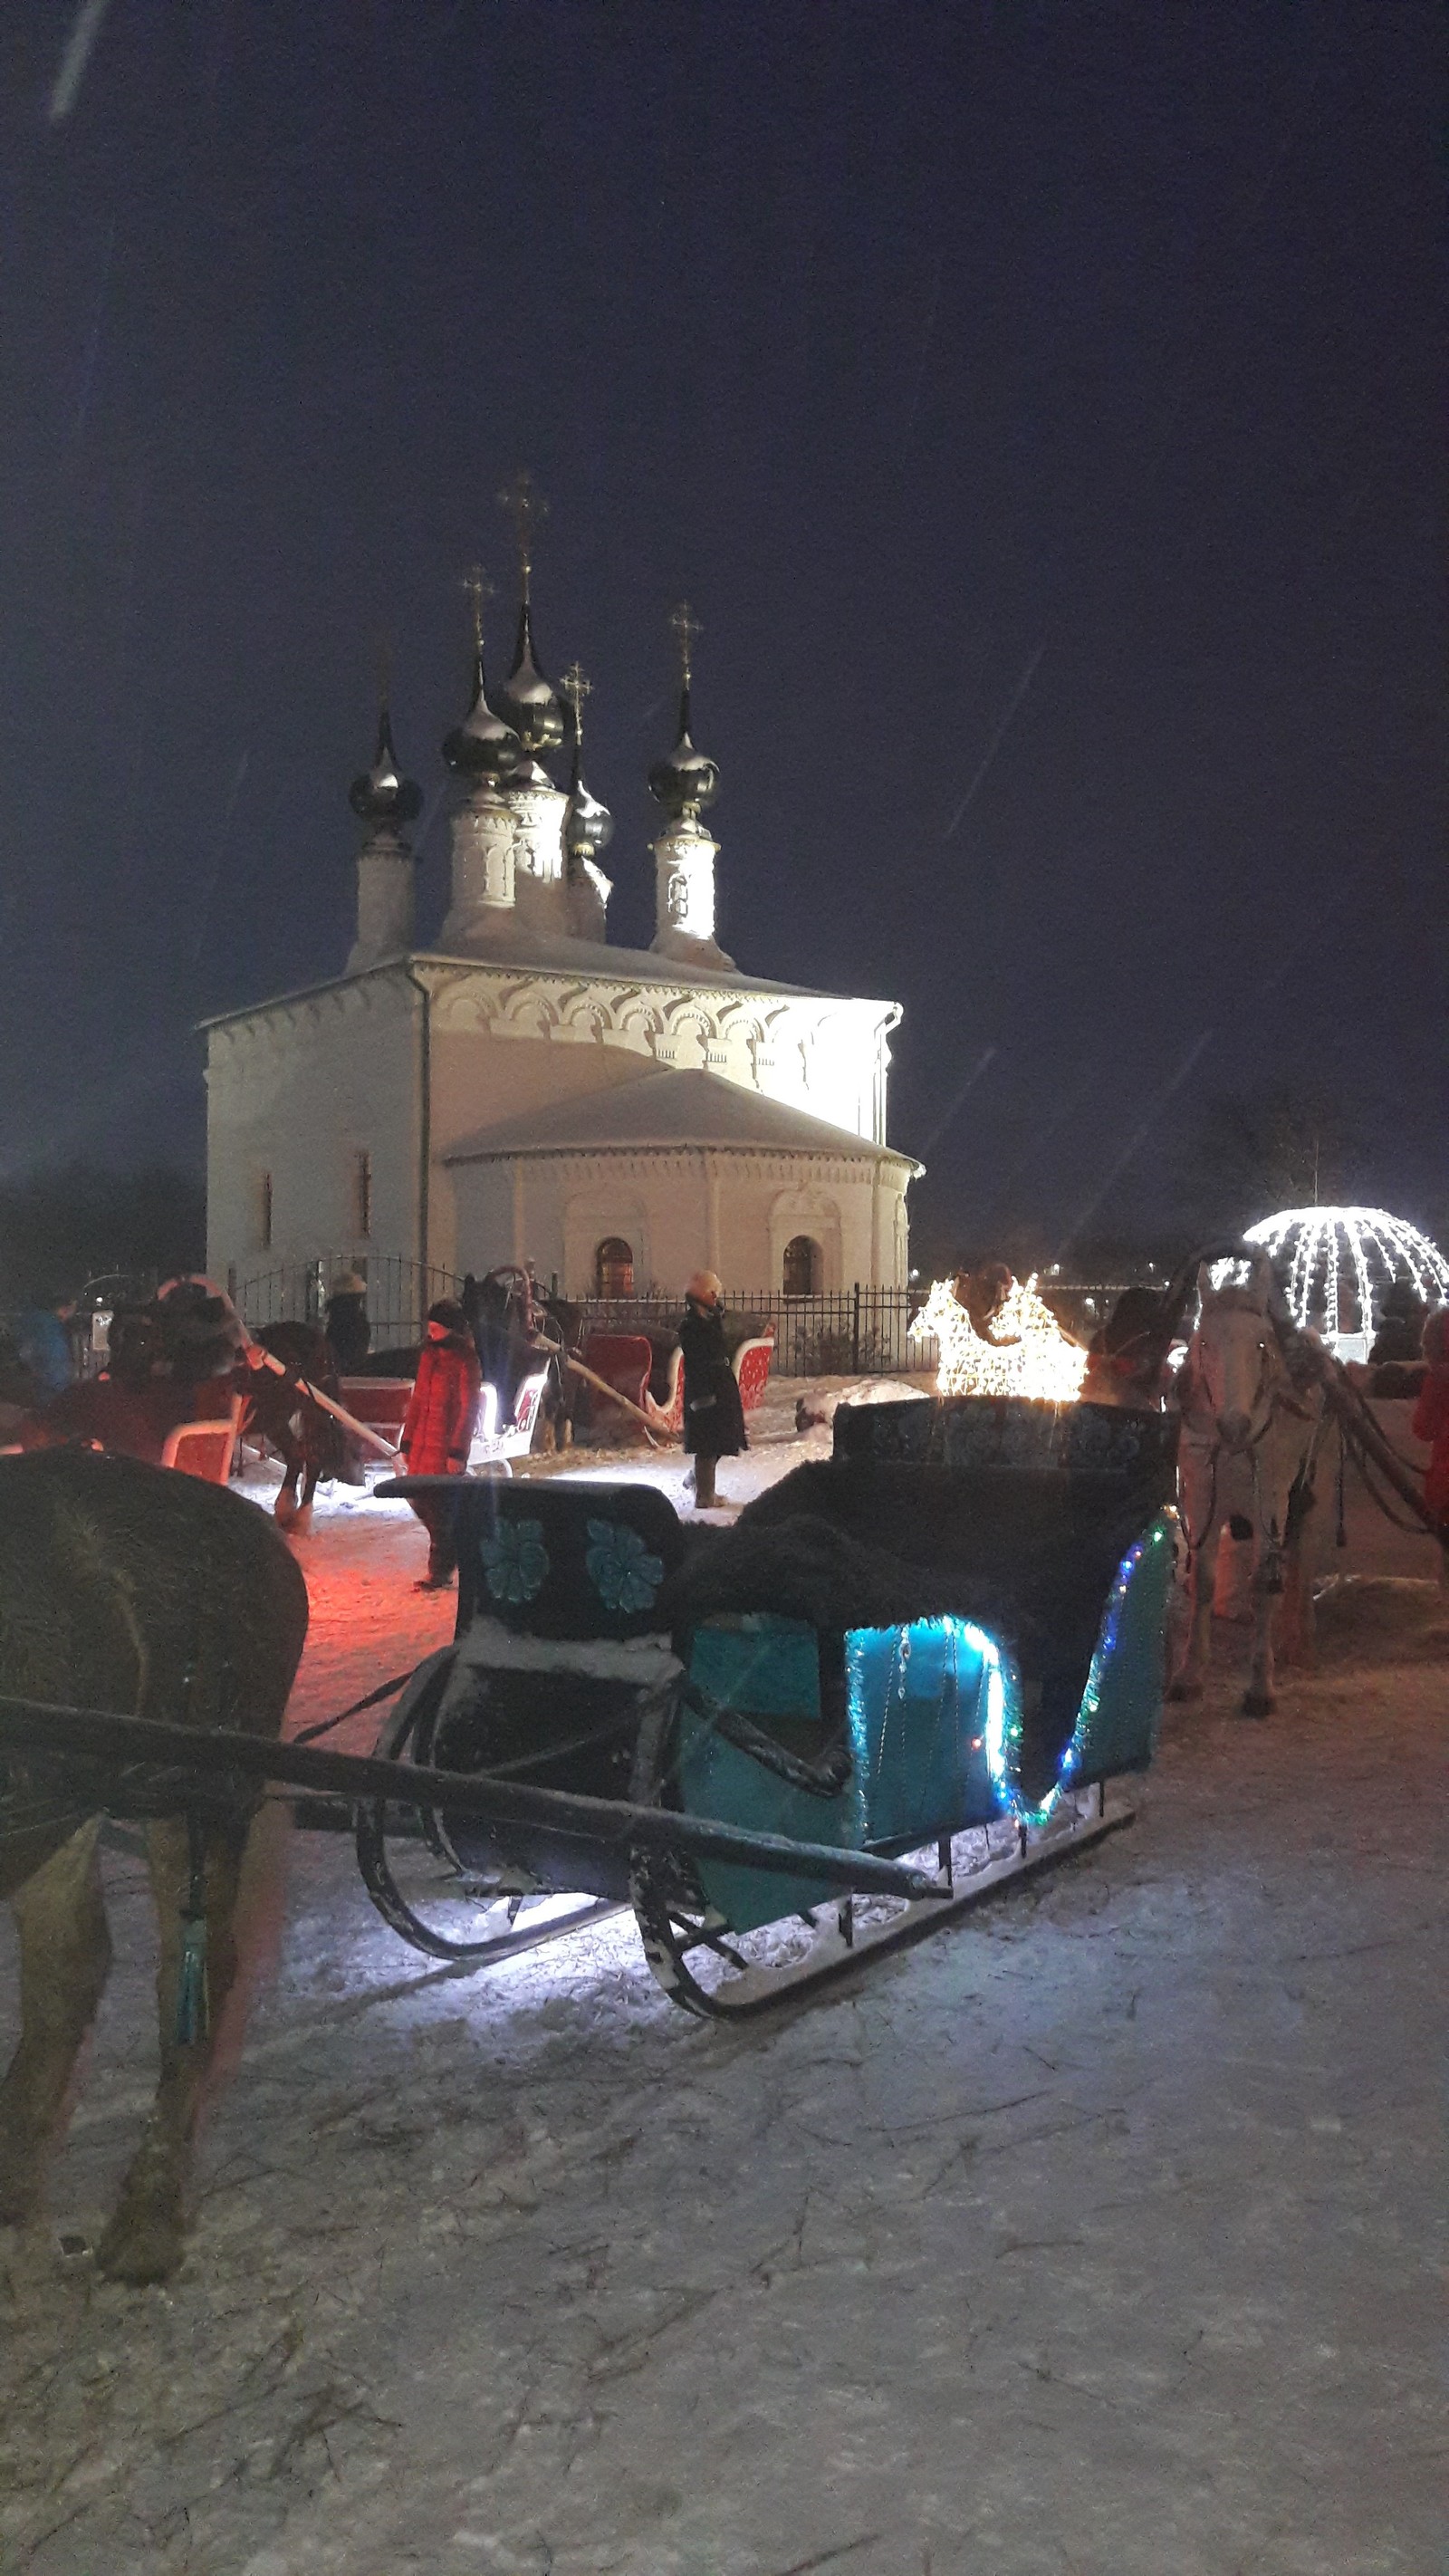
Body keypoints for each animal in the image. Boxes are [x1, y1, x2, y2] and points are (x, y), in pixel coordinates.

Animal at [0, 1453, 306, 2277]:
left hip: (201, 1794)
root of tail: (253, 1526)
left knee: (194, 1976)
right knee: (68, 1977)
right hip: (69, 1809)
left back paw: (148, 2217)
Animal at [1173, 1246, 1328, 1710]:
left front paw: (1261, 1684)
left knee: (1301, 1563)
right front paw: (1190, 1672)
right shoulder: (1201, 1499)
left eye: (1260, 1344)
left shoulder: (1271, 1505)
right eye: (1204, 1343)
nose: (1234, 1425)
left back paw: (1300, 1641)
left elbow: (1263, 1583)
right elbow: (1203, 1582)